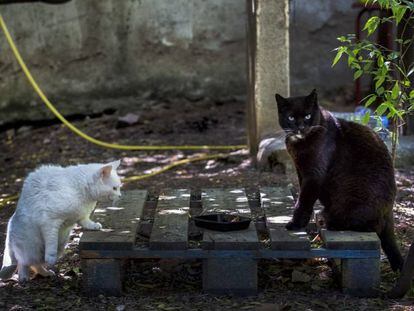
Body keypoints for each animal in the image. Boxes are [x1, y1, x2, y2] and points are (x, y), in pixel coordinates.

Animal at [274, 89, 404, 272]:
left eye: (307, 116)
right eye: (291, 117)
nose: (300, 127)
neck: (299, 143)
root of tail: (389, 211)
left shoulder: (313, 175)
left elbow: (304, 200)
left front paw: (295, 224)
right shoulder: (301, 172)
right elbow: (303, 197)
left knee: (371, 226)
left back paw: (332, 222)